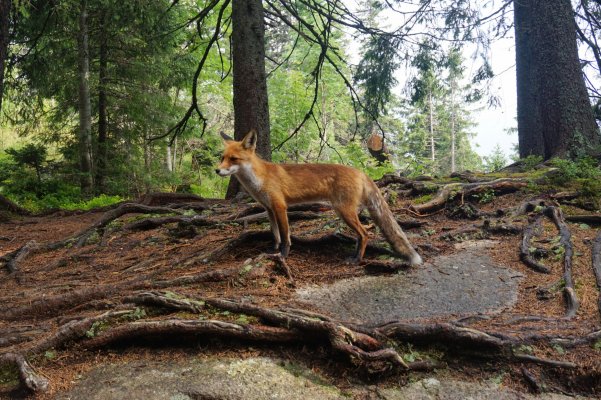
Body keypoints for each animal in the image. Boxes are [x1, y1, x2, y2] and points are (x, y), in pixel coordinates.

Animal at [216, 129, 422, 266]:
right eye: (222, 157)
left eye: (234, 159)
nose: (217, 170)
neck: (259, 179)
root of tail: (360, 172)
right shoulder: (269, 209)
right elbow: (275, 234)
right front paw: (272, 250)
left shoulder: (280, 207)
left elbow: (285, 236)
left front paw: (283, 255)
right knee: (361, 235)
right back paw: (355, 255)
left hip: (344, 211)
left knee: (365, 234)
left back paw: (357, 259)